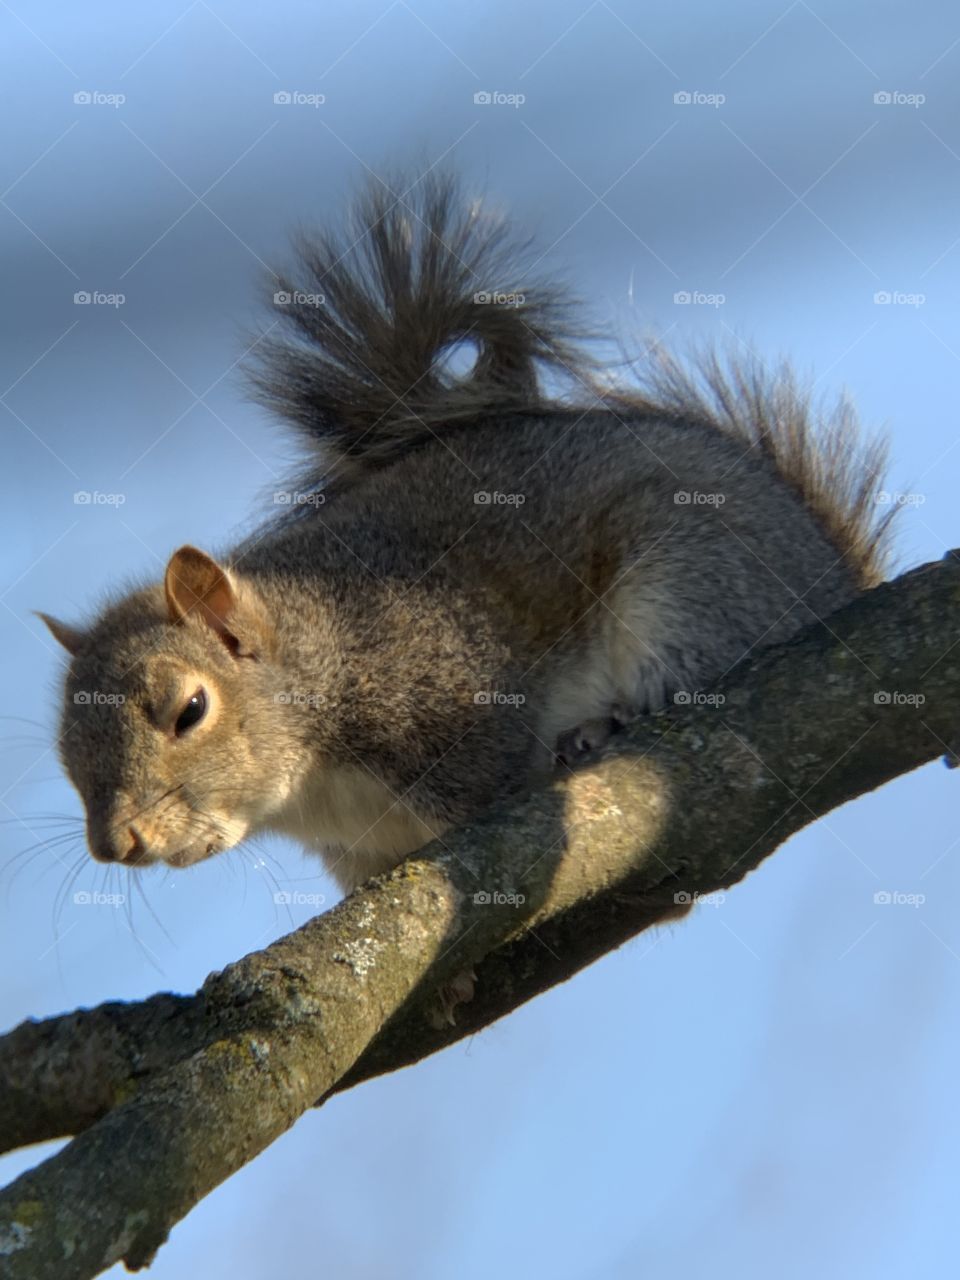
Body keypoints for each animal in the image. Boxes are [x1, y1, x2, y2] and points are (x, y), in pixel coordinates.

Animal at [39, 169, 896, 910]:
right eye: (64, 747)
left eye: (189, 710)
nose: (116, 845)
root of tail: (835, 578)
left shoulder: (453, 698)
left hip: (695, 578)